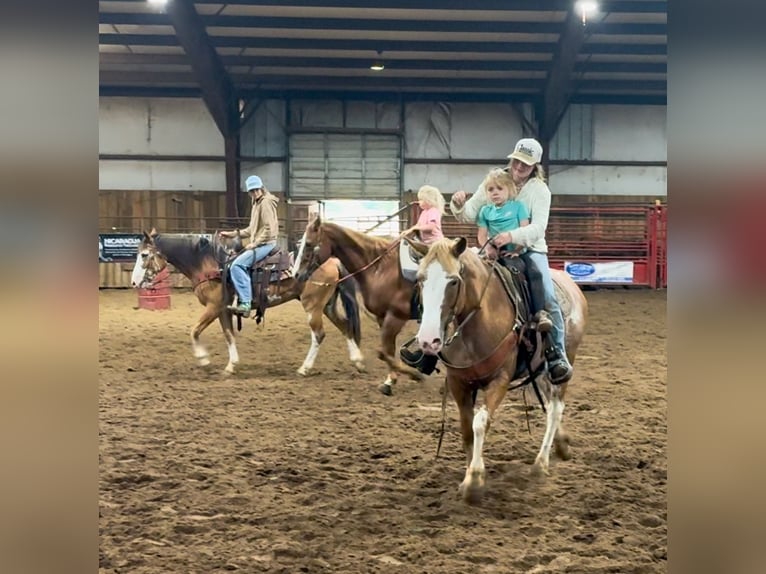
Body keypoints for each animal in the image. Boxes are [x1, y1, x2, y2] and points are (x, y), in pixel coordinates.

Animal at [130, 229, 365, 376]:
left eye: (144, 255)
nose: (133, 282)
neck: (209, 265)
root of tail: (333, 260)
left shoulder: (213, 307)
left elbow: (194, 331)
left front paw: (203, 358)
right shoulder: (223, 310)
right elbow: (229, 335)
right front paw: (231, 365)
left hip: (313, 306)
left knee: (319, 334)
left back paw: (304, 368)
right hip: (327, 305)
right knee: (346, 326)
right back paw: (358, 361)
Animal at [295, 215, 424, 395]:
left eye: (308, 243)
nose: (296, 274)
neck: (381, 269)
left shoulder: (396, 317)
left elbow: (384, 351)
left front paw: (414, 374)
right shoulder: (382, 317)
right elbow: (388, 351)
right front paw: (390, 381)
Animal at [412, 237, 588, 504]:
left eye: (453, 281)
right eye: (420, 278)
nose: (427, 341)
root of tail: (573, 287)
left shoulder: (499, 380)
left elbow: (480, 422)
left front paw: (474, 481)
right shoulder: (458, 382)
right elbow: (466, 428)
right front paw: (469, 474)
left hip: (565, 361)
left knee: (555, 409)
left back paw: (541, 464)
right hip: (540, 370)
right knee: (549, 404)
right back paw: (561, 444)